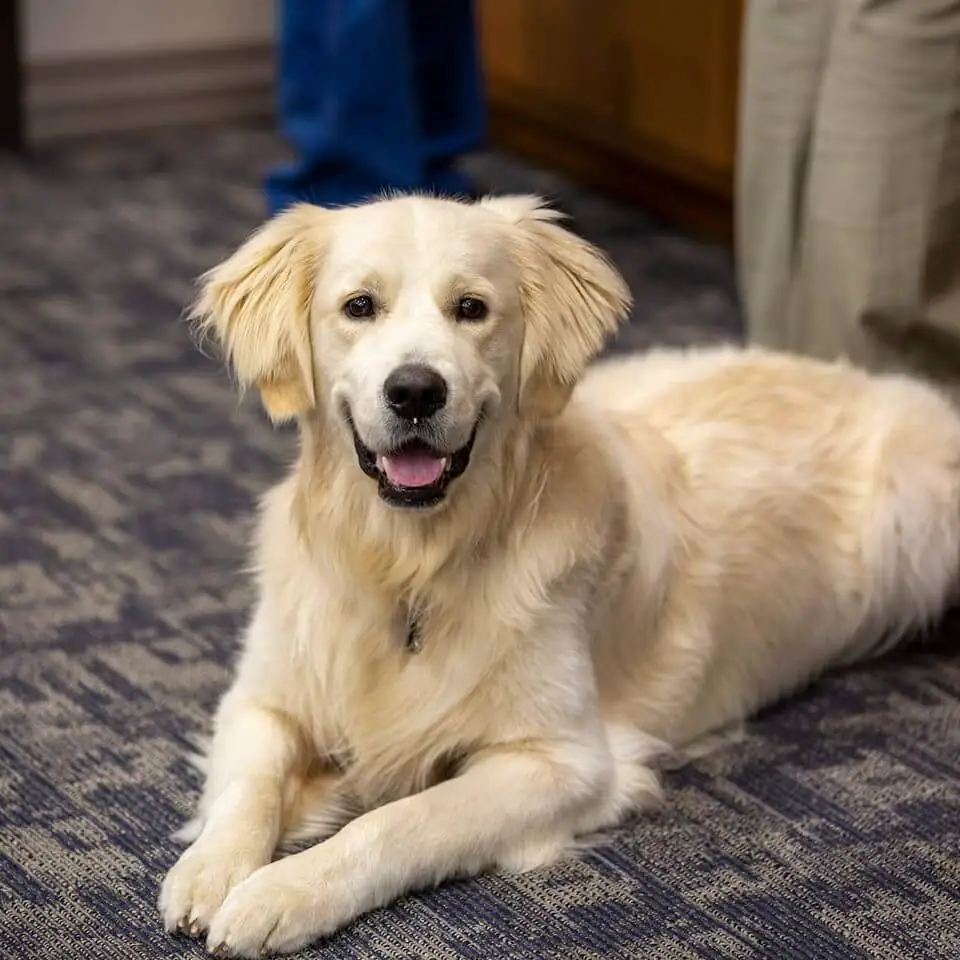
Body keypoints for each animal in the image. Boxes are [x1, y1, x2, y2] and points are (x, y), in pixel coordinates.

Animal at [158, 191, 960, 956]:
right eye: (359, 306)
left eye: (471, 308)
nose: (415, 390)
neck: (410, 563)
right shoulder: (262, 696)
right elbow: (249, 785)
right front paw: (212, 869)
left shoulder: (563, 762)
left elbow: (401, 822)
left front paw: (282, 893)